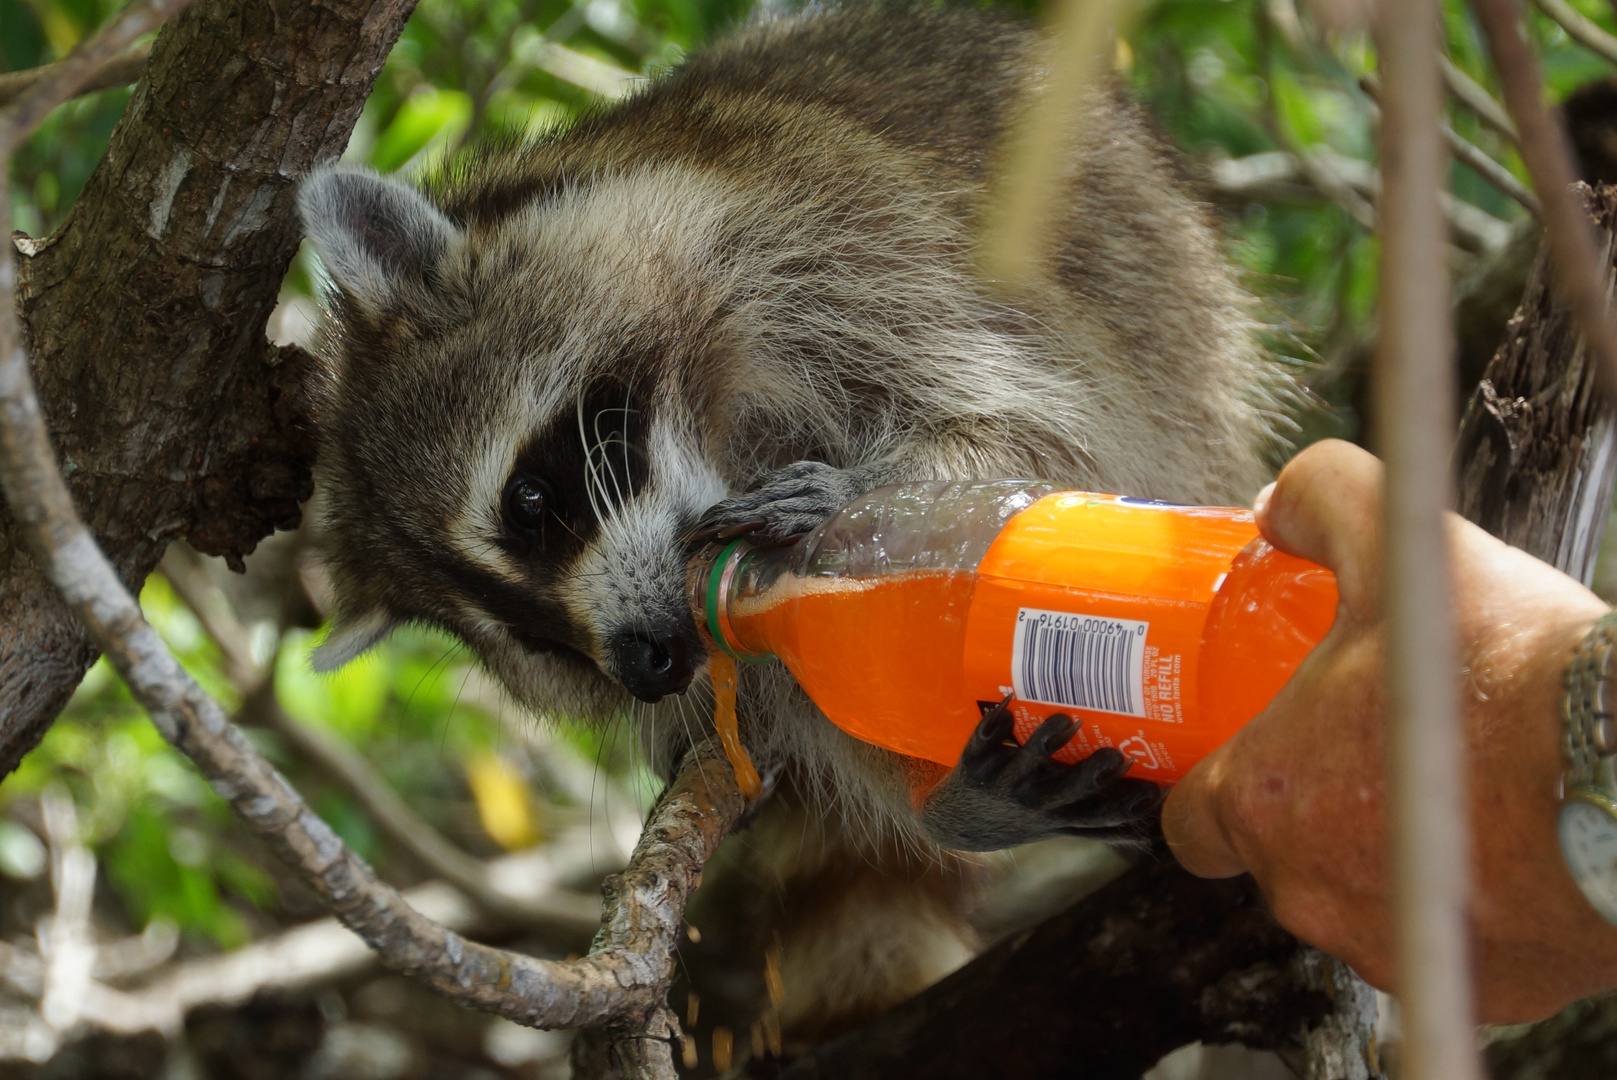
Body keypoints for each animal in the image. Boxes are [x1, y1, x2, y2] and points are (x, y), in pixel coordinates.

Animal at [297, 0, 1280, 1047]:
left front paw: (858, 492)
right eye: (534, 642)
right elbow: (833, 694)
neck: (714, 428)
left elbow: (1032, 433)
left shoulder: (839, 250)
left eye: (528, 504)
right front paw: (939, 793)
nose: (646, 667)